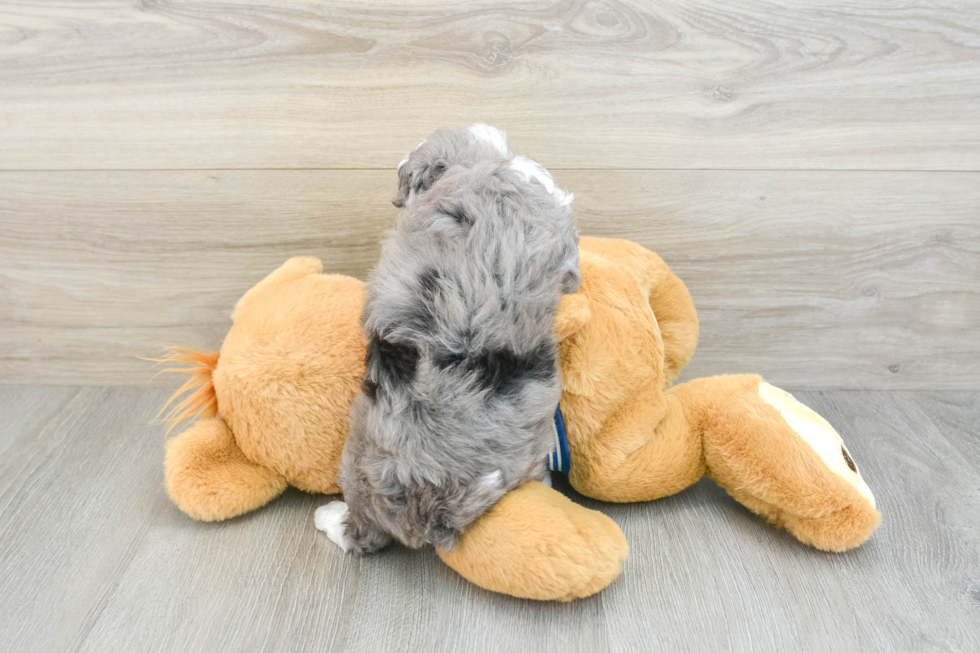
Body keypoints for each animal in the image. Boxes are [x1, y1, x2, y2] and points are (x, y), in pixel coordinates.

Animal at [314, 125, 580, 552]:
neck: (490, 164)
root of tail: (438, 508)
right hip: (527, 454)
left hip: (361, 457)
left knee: (365, 530)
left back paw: (332, 518)